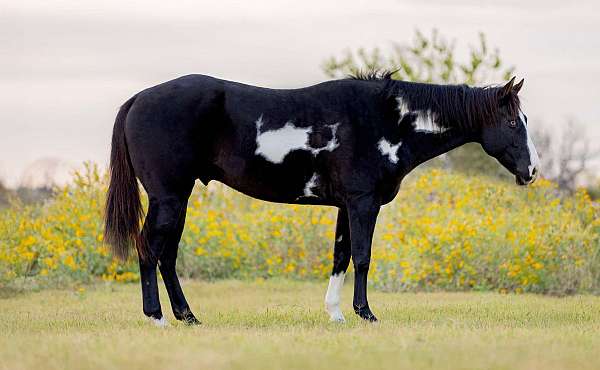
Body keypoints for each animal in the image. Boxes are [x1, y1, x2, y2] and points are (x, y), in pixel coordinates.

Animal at [103, 72, 540, 326]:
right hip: (169, 198)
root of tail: (138, 99)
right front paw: (366, 314)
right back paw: (157, 317)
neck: (386, 118)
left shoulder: (346, 206)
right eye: (511, 122)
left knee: (166, 255)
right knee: (149, 249)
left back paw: (187, 317)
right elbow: (362, 257)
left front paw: (336, 314)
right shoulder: (363, 202)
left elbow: (341, 257)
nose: (532, 170)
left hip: (178, 199)